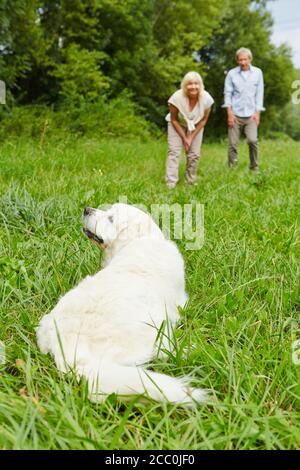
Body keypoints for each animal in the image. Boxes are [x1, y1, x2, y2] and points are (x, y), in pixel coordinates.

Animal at [36, 202, 207, 404]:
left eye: (111, 218)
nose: (86, 209)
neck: (141, 240)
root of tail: (67, 351)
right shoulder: (180, 302)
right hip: (155, 328)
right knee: (164, 352)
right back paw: (192, 350)